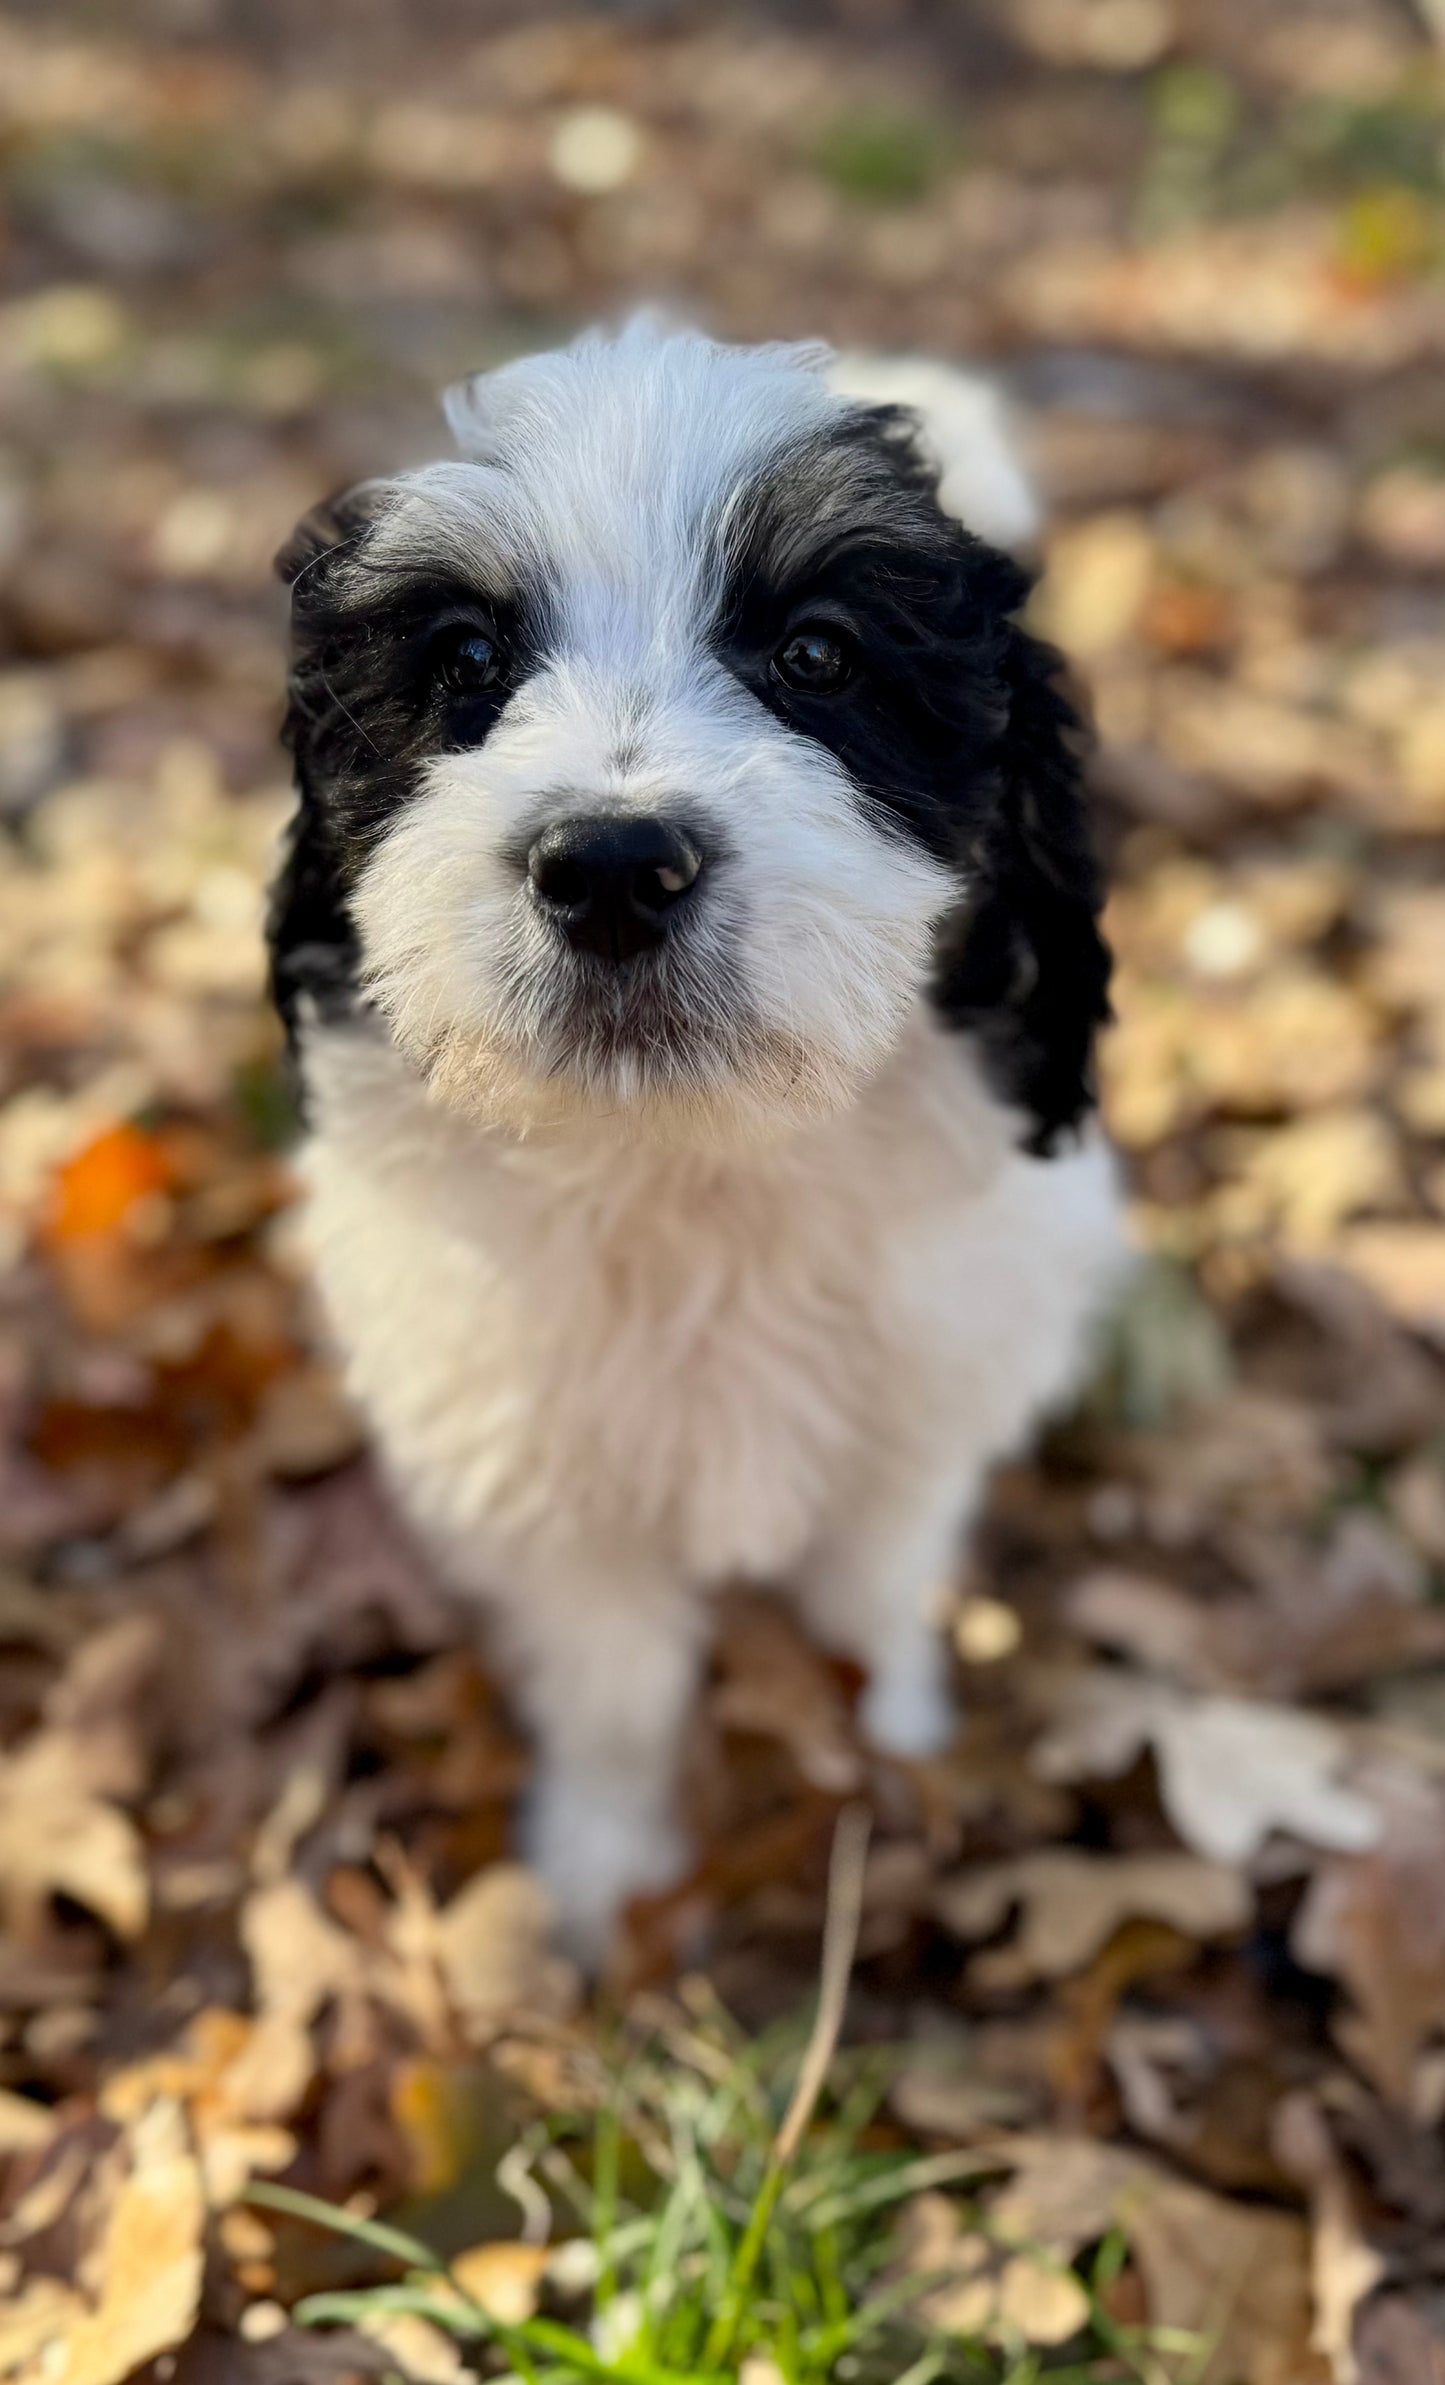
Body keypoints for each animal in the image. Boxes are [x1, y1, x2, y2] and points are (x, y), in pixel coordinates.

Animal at [274, 317, 1135, 1955]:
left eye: (817, 656)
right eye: (465, 663)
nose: (612, 866)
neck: (695, 1155)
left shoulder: (909, 1414)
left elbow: (867, 1600)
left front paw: (894, 1751)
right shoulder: (550, 1480)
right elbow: (614, 1687)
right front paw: (602, 1875)